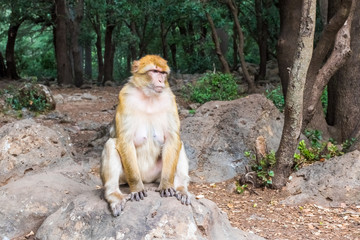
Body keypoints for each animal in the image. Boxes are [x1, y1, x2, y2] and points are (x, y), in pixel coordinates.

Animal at [100, 55, 191, 217]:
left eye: (163, 73)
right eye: (154, 71)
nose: (161, 80)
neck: (149, 97)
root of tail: (148, 179)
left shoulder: (170, 100)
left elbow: (173, 140)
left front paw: (166, 186)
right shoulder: (125, 97)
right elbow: (124, 141)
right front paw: (137, 189)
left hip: (157, 174)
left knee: (180, 145)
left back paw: (181, 189)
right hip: (125, 176)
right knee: (110, 144)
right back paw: (114, 196)